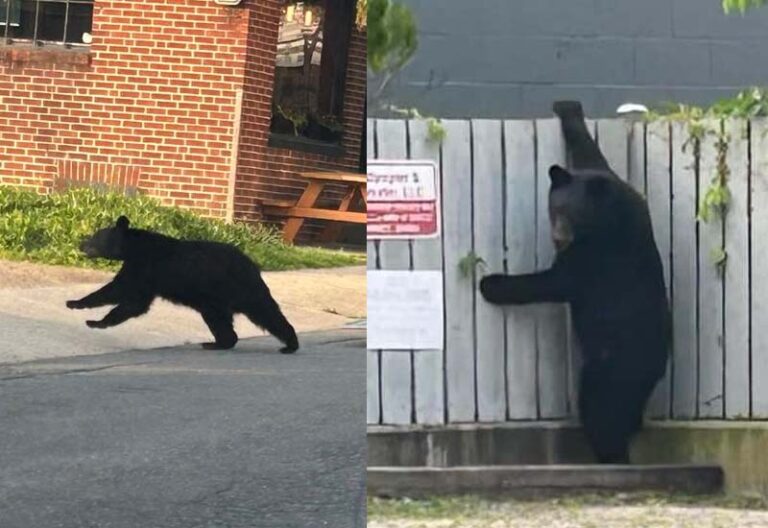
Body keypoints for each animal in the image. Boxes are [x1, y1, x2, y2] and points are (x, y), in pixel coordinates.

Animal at [66, 216, 299, 353]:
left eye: (96, 236)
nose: (81, 243)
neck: (132, 248)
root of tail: (253, 265)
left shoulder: (145, 266)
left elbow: (127, 295)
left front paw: (89, 316)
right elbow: (132, 299)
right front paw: (79, 307)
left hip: (239, 289)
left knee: (266, 311)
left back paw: (290, 345)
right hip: (215, 301)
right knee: (221, 320)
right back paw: (218, 343)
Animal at [479, 101, 670, 464]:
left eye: (572, 215)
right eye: (555, 209)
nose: (557, 238)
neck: (607, 212)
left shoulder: (597, 253)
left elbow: (556, 282)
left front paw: (491, 283)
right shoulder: (611, 180)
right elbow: (590, 152)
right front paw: (568, 107)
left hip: (613, 364)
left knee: (601, 409)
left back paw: (610, 454)